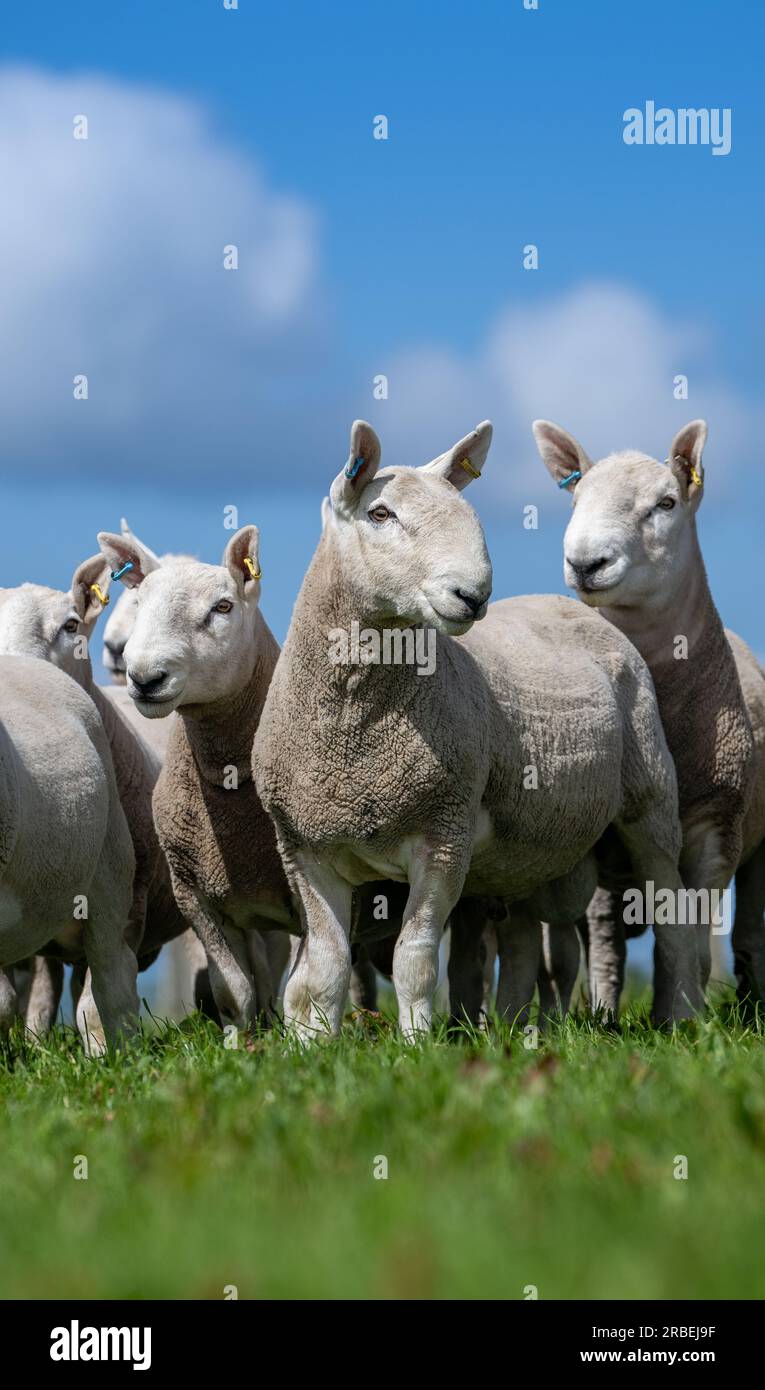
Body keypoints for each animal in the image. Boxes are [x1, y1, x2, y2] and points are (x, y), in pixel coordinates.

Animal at [95, 525, 296, 1028]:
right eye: (139, 602)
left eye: (222, 607)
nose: (145, 677)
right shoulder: (195, 894)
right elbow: (234, 991)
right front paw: (240, 1040)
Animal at [253, 417, 701, 1039]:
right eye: (379, 513)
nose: (473, 594)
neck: (353, 729)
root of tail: (565, 602)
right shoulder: (303, 847)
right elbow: (323, 967)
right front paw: (311, 1046)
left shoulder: (444, 833)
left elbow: (414, 958)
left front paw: (417, 1044)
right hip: (523, 850)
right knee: (521, 943)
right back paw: (514, 1028)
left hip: (650, 799)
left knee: (671, 914)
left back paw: (679, 1018)